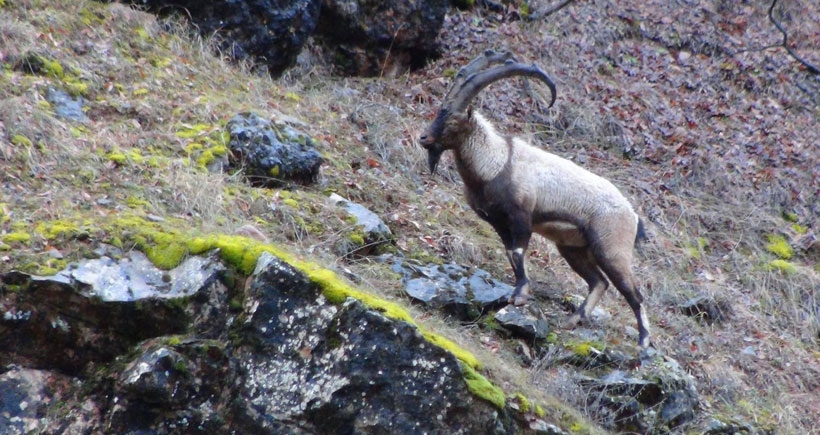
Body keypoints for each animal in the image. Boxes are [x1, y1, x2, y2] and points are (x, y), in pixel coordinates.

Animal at [420, 50, 652, 350]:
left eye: (452, 119)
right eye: (439, 111)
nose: (424, 138)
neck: (495, 163)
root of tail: (633, 216)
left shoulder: (521, 217)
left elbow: (518, 252)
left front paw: (520, 296)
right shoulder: (498, 222)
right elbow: (510, 253)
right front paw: (517, 292)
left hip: (611, 249)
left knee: (633, 292)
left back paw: (644, 343)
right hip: (573, 249)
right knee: (599, 282)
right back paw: (573, 320)